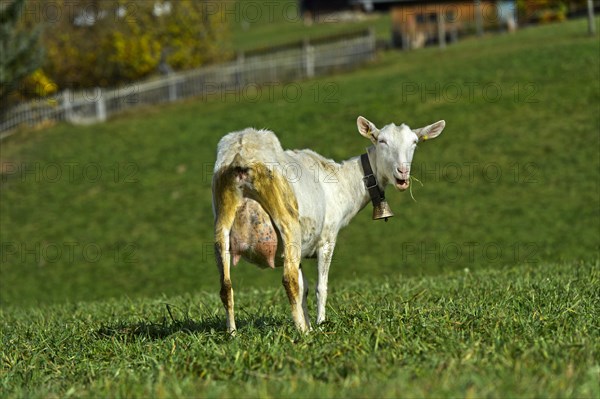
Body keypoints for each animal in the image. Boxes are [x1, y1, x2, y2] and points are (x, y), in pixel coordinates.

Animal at [212, 116, 446, 334]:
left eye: (414, 142)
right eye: (382, 141)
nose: (402, 172)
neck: (341, 181)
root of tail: (242, 154)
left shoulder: (303, 249)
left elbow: (304, 288)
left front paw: (310, 322)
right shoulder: (327, 238)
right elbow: (320, 287)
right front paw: (319, 324)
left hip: (222, 223)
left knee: (226, 285)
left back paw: (232, 333)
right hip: (287, 221)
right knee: (288, 280)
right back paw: (302, 332)